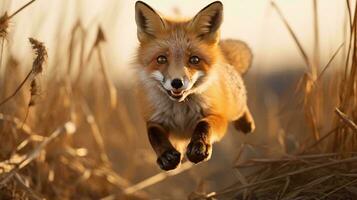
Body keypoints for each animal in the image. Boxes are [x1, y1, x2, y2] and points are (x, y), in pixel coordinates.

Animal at [133, 0, 253, 171]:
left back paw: (245, 122)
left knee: (240, 103)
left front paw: (200, 147)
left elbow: (204, 124)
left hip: (233, 105)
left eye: (194, 59)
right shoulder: (155, 119)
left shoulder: (218, 116)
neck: (181, 110)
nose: (177, 83)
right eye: (161, 59)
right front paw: (166, 156)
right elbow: (154, 134)